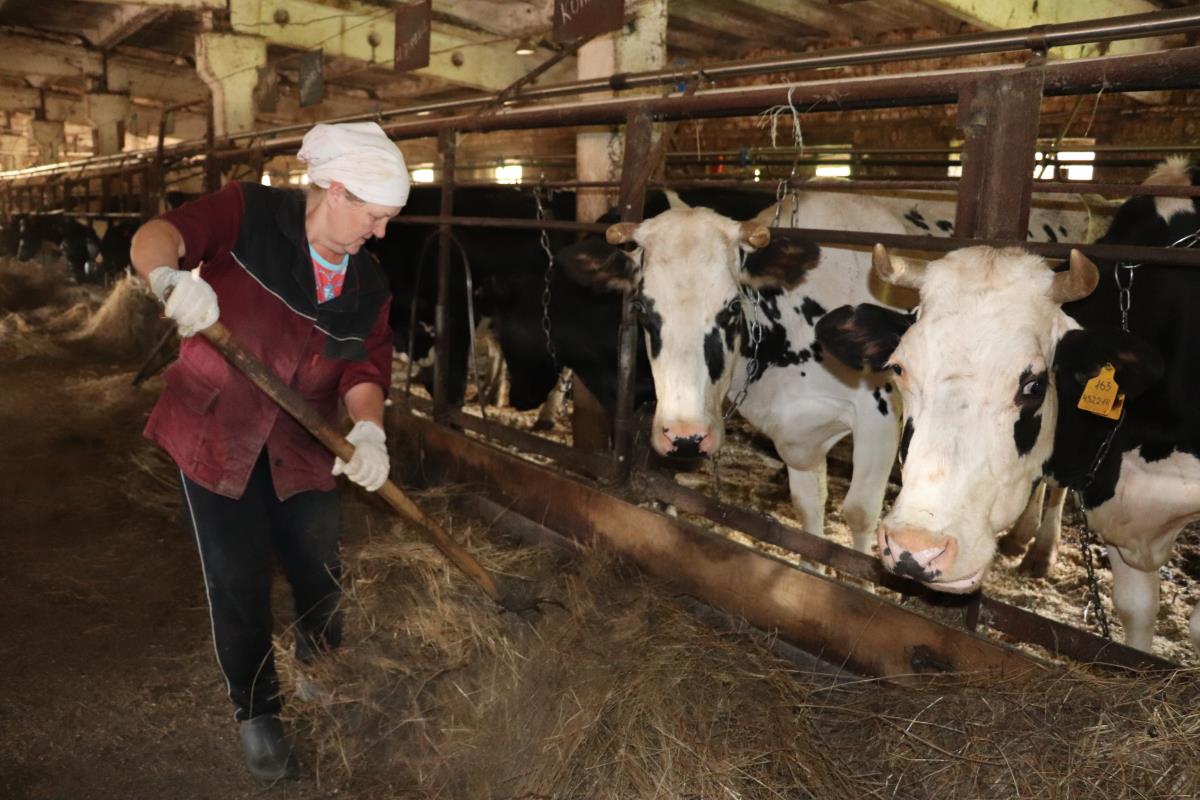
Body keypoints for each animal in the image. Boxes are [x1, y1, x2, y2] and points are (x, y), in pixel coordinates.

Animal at [559, 191, 907, 554]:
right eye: (640, 308)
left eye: (733, 306)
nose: (686, 438)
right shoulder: (798, 437)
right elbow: (809, 511)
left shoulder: (881, 413)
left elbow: (860, 513)